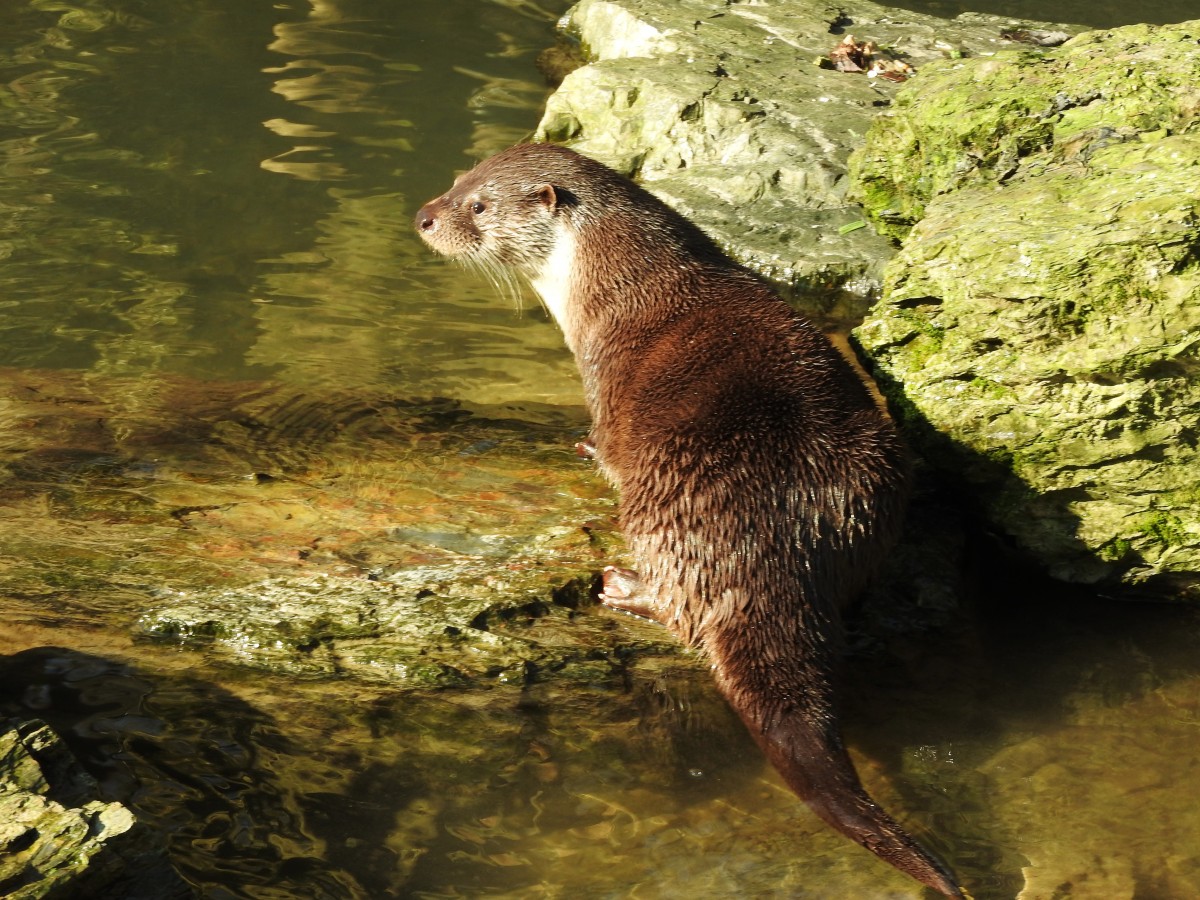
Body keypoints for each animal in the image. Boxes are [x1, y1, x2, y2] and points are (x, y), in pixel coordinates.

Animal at [417, 144, 960, 897]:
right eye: (458, 179)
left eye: (479, 206)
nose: (425, 216)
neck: (612, 284)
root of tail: (781, 539)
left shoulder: (602, 380)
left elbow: (600, 442)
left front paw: (584, 450)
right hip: (872, 476)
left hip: (658, 500)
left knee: (682, 609)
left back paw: (623, 586)